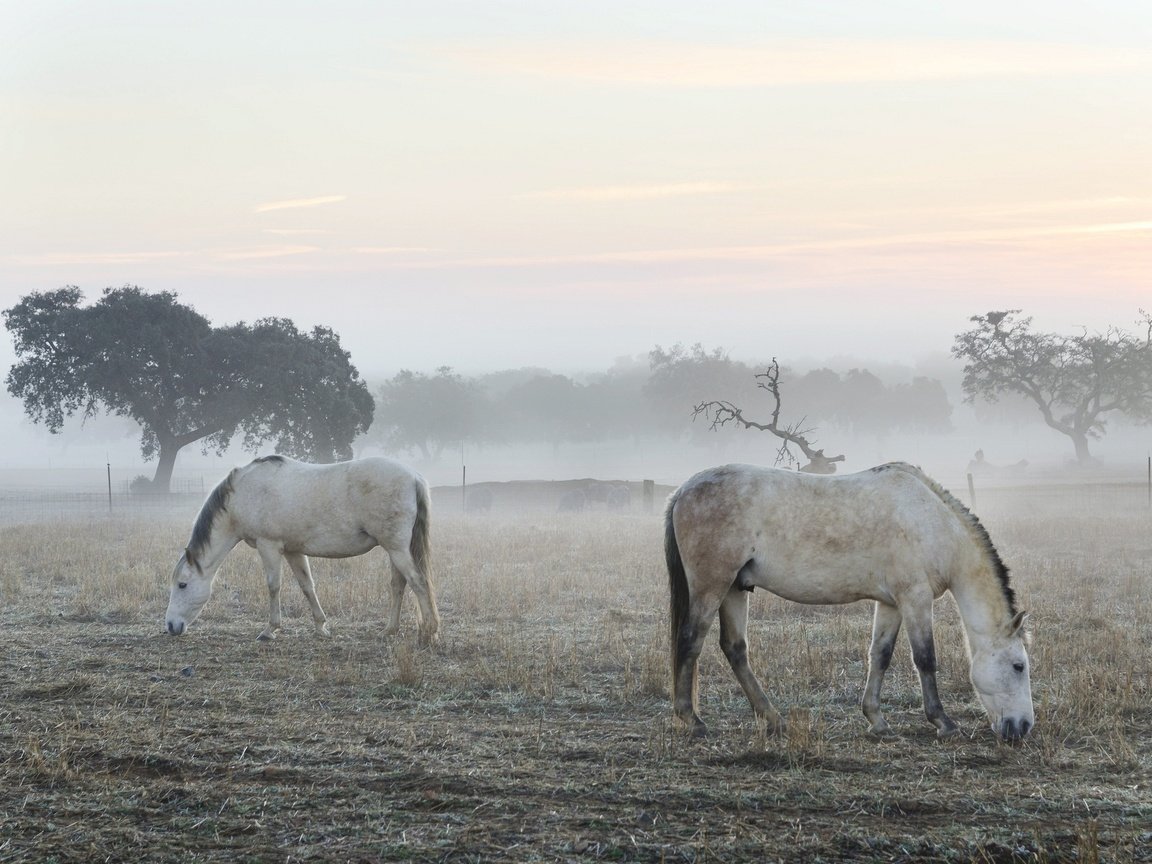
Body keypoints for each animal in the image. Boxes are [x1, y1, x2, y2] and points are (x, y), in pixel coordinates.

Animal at [160, 456, 433, 645]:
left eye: (182, 585)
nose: (171, 626)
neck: (244, 493)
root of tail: (414, 477)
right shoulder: (293, 551)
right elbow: (307, 586)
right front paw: (321, 626)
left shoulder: (268, 546)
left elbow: (273, 586)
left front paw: (270, 630)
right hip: (394, 550)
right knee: (398, 585)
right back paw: (390, 630)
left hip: (397, 549)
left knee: (418, 582)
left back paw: (430, 632)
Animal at [668, 467, 1036, 746]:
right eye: (1019, 666)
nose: (1023, 727)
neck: (932, 524)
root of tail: (683, 489)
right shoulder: (915, 598)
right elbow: (925, 659)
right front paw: (943, 722)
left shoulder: (891, 603)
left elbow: (881, 655)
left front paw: (877, 720)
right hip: (712, 586)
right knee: (690, 641)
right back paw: (693, 720)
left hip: (734, 588)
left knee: (735, 648)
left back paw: (773, 719)